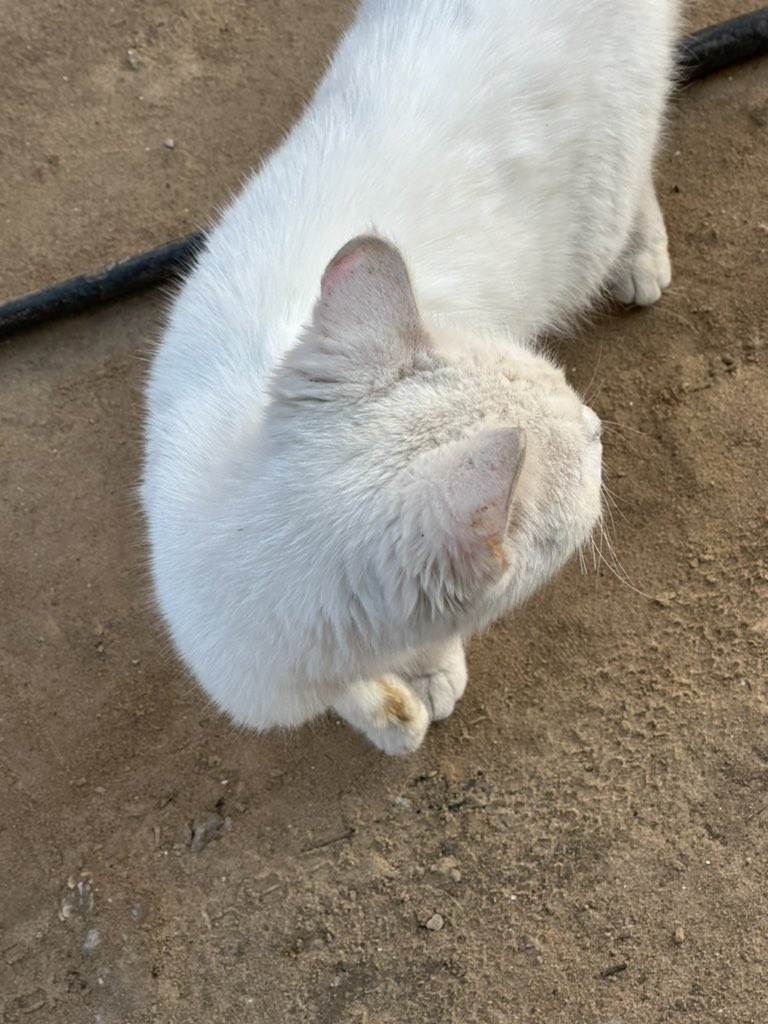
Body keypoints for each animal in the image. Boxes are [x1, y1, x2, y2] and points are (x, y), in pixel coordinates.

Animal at [143, 0, 679, 753]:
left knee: (640, 173)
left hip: (604, 190)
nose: (598, 423)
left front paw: (425, 674)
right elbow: (349, 693)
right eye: (586, 450)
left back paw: (641, 256)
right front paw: (385, 711)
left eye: (573, 401)